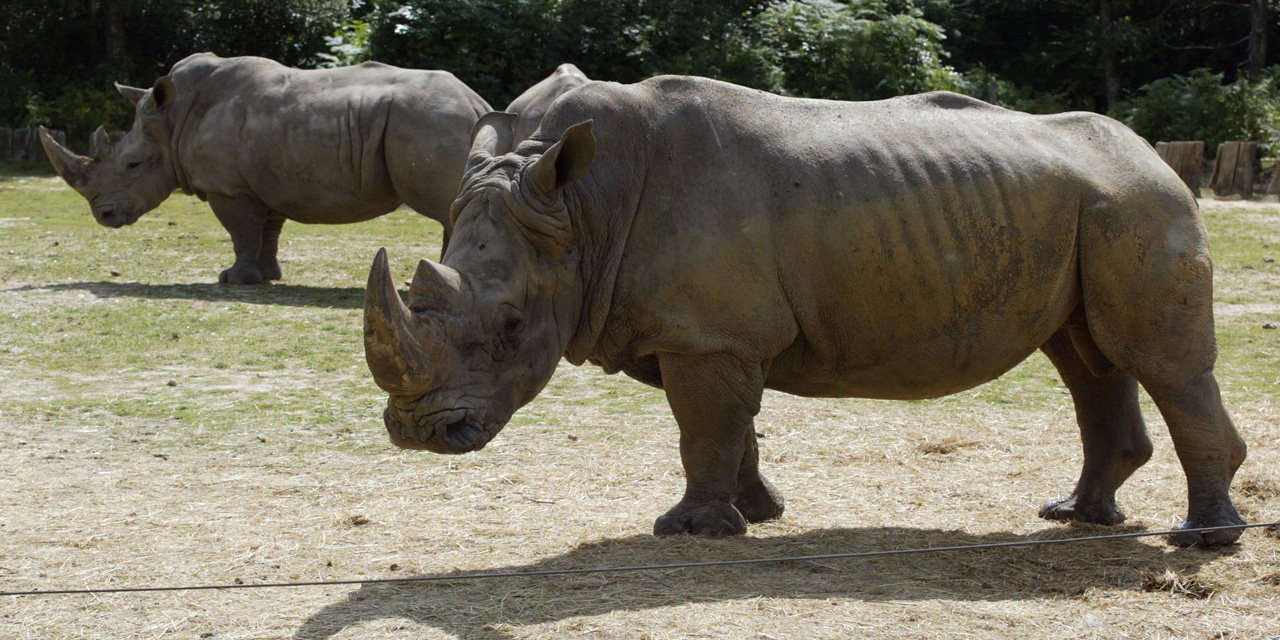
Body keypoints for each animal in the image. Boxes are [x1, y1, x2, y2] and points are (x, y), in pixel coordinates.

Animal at [40, 53, 491, 284]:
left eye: (132, 164)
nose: (104, 216)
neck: (172, 120)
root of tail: (476, 102)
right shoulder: (267, 180)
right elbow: (267, 233)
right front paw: (269, 275)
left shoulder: (228, 187)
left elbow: (240, 232)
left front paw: (232, 280)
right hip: (435, 121)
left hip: (427, 121)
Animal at [363, 76, 1248, 547]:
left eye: (511, 327)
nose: (416, 435)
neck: (581, 211)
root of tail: (1150, 151)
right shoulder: (712, 333)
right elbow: (733, 427)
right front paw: (755, 515)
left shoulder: (706, 335)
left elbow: (705, 428)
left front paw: (687, 531)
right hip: (1093, 207)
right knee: (1086, 359)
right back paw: (1078, 517)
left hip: (1139, 202)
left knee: (1160, 363)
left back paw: (1201, 541)